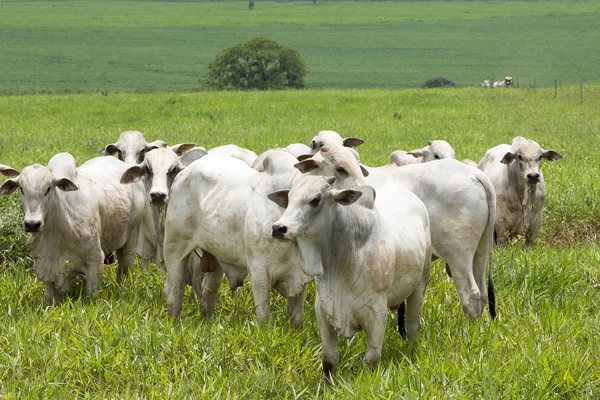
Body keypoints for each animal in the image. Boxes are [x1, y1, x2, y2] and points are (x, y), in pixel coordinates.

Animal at [0, 153, 145, 304]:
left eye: (48, 189)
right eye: (21, 189)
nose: (32, 224)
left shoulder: (95, 261)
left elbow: (92, 296)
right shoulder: (44, 267)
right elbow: (51, 298)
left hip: (131, 239)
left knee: (125, 267)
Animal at [268, 175, 432, 376]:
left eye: (316, 199)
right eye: (289, 199)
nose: (278, 228)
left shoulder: (377, 312)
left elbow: (372, 359)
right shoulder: (323, 312)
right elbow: (329, 361)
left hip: (420, 284)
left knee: (412, 326)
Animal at [296, 144, 496, 322]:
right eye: (340, 168)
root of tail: (474, 174)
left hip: (458, 256)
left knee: (471, 295)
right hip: (480, 252)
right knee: (482, 293)